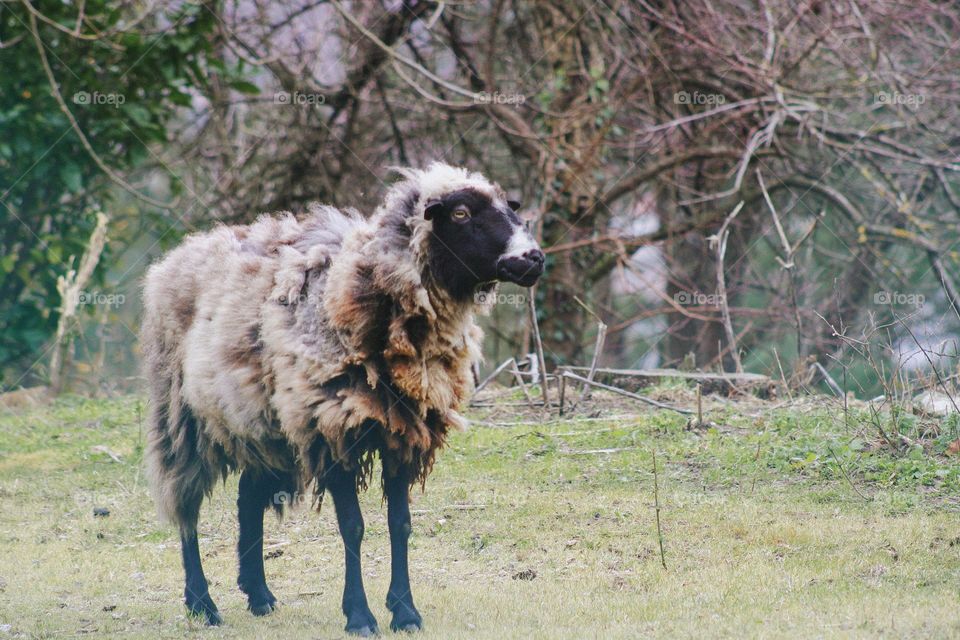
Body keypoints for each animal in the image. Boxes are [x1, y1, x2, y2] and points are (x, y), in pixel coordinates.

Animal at [140, 162, 545, 634]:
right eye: (461, 213)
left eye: (509, 207)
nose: (533, 259)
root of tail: (182, 252)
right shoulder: (333, 428)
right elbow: (353, 526)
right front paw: (360, 615)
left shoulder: (402, 432)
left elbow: (400, 524)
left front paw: (405, 611)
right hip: (180, 414)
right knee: (186, 504)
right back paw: (202, 603)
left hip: (264, 421)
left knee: (247, 498)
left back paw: (258, 594)